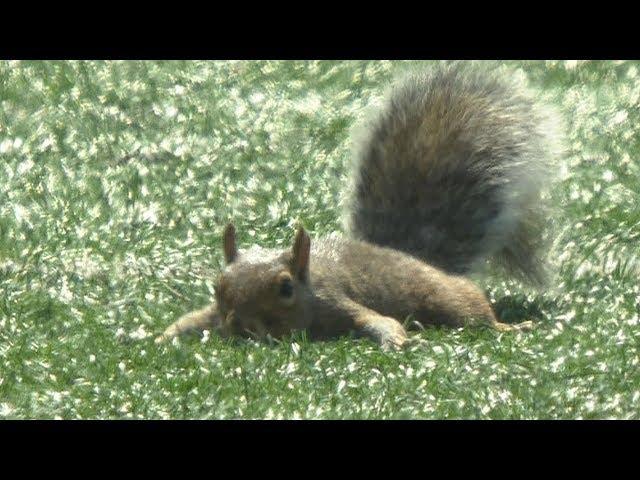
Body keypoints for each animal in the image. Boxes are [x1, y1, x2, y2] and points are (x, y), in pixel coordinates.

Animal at [156, 62, 564, 350]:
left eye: (286, 288)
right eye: (217, 286)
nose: (241, 326)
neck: (310, 286)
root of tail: (421, 260)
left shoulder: (336, 300)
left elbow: (376, 319)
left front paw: (394, 339)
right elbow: (191, 319)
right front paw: (159, 336)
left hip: (447, 297)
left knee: (474, 313)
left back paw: (508, 326)